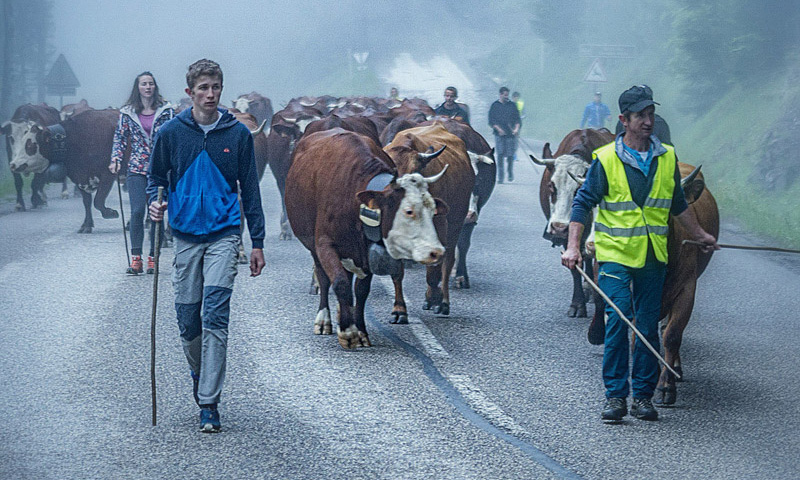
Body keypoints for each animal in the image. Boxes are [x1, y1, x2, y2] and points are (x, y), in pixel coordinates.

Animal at [286, 127, 450, 348]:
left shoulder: (365, 252)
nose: (436, 251)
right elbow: (339, 283)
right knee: (324, 277)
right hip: (312, 245)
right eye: (408, 211)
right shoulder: (325, 245)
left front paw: (360, 330)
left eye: (432, 209)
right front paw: (347, 331)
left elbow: (361, 290)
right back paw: (324, 320)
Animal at [382, 123, 472, 318]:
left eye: (414, 173)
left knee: (447, 261)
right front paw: (399, 309)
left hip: (455, 223)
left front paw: (434, 298)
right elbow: (396, 270)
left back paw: (443, 302)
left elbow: (434, 270)